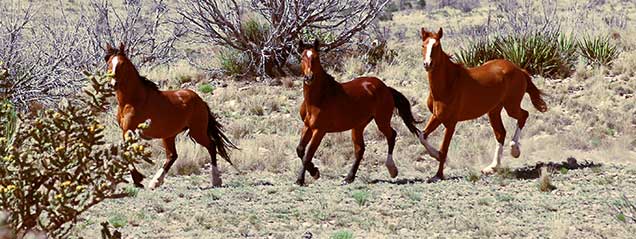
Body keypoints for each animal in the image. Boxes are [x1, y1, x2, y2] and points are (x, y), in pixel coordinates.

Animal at [105, 43, 237, 189]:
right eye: (109, 63)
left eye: (122, 64)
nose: (112, 84)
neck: (132, 101)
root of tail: (200, 100)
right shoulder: (125, 132)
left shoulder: (129, 131)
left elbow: (126, 153)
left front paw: (137, 180)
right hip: (169, 135)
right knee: (172, 156)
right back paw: (156, 181)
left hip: (197, 132)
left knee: (211, 146)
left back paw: (216, 180)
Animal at [296, 39, 422, 186]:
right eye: (302, 57)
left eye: (316, 58)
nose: (309, 77)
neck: (319, 98)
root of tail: (386, 88)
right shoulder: (308, 126)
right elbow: (300, 150)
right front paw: (307, 175)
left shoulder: (319, 130)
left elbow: (308, 155)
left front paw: (310, 175)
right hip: (358, 125)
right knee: (360, 149)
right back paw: (349, 178)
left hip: (381, 121)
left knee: (391, 135)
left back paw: (392, 169)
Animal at [418, 27, 548, 181]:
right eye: (423, 45)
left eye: (437, 46)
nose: (428, 64)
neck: (448, 84)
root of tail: (519, 70)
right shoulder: (437, 117)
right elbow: (422, 136)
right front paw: (436, 159)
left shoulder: (451, 122)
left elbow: (444, 148)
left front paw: (438, 174)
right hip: (494, 110)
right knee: (501, 133)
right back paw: (492, 167)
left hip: (511, 106)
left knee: (523, 115)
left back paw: (514, 150)